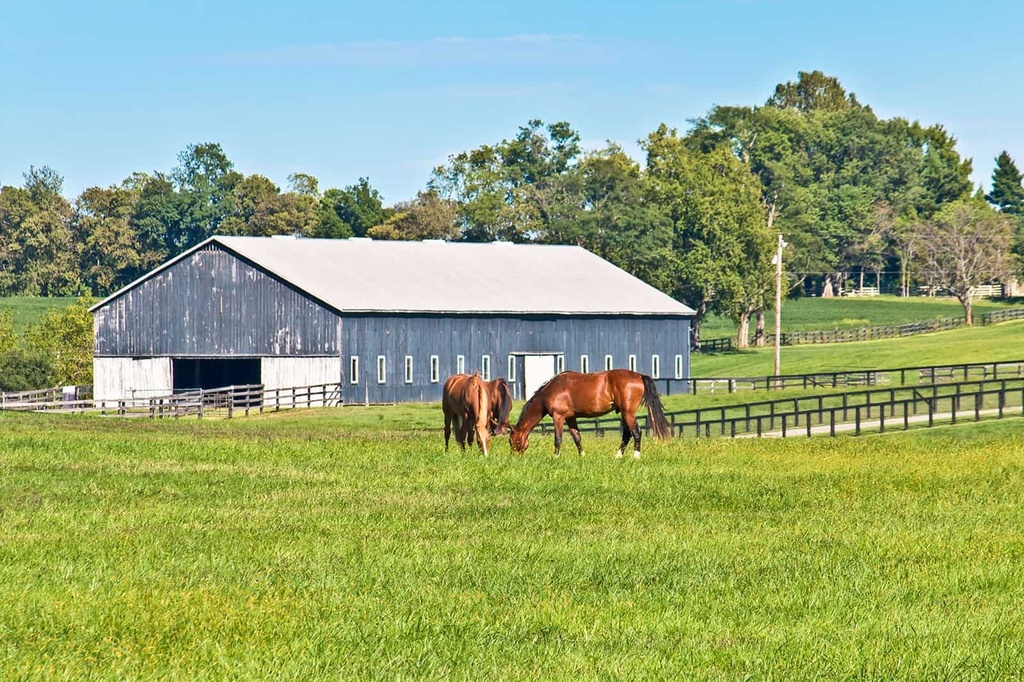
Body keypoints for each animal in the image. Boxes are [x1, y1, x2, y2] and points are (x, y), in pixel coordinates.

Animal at [505, 368, 671, 458]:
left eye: (511, 441)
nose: (514, 456)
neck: (551, 390)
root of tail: (639, 376)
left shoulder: (559, 416)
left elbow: (558, 438)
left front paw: (555, 457)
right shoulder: (571, 418)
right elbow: (577, 437)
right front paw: (582, 456)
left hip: (628, 413)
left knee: (636, 432)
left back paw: (636, 456)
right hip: (625, 414)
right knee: (627, 434)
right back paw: (618, 456)